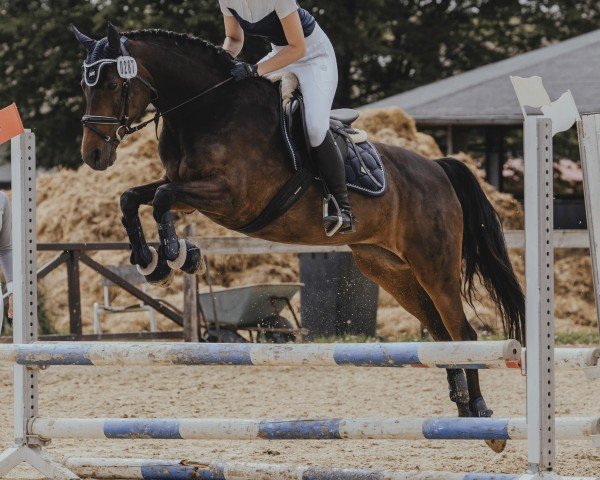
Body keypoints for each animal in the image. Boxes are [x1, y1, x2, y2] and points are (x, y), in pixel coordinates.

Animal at [75, 24, 524, 452]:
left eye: (112, 84)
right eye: (85, 85)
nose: (93, 155)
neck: (207, 109)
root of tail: (437, 168)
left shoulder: (230, 198)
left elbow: (161, 198)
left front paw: (177, 254)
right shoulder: (189, 193)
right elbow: (134, 197)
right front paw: (152, 262)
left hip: (434, 264)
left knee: (464, 334)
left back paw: (484, 418)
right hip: (389, 269)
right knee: (442, 335)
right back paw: (464, 410)